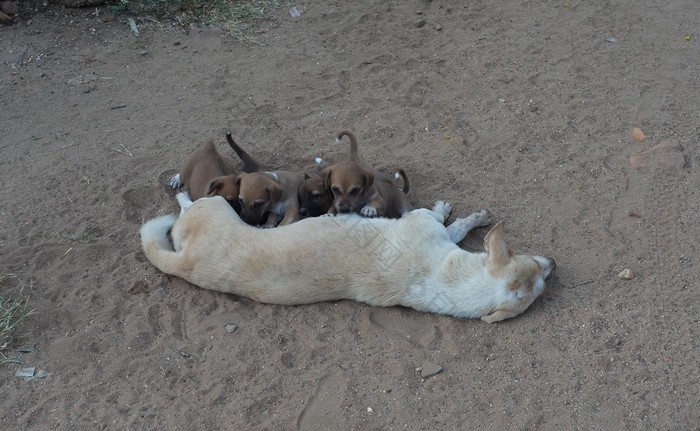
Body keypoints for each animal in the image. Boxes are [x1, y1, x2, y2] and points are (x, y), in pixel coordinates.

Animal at [139, 194, 556, 322]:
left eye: (541, 282)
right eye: (533, 263)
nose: (555, 265)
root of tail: (186, 262)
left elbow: (454, 225)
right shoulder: (428, 226)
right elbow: (451, 221)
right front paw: (470, 215)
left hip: (214, 206)